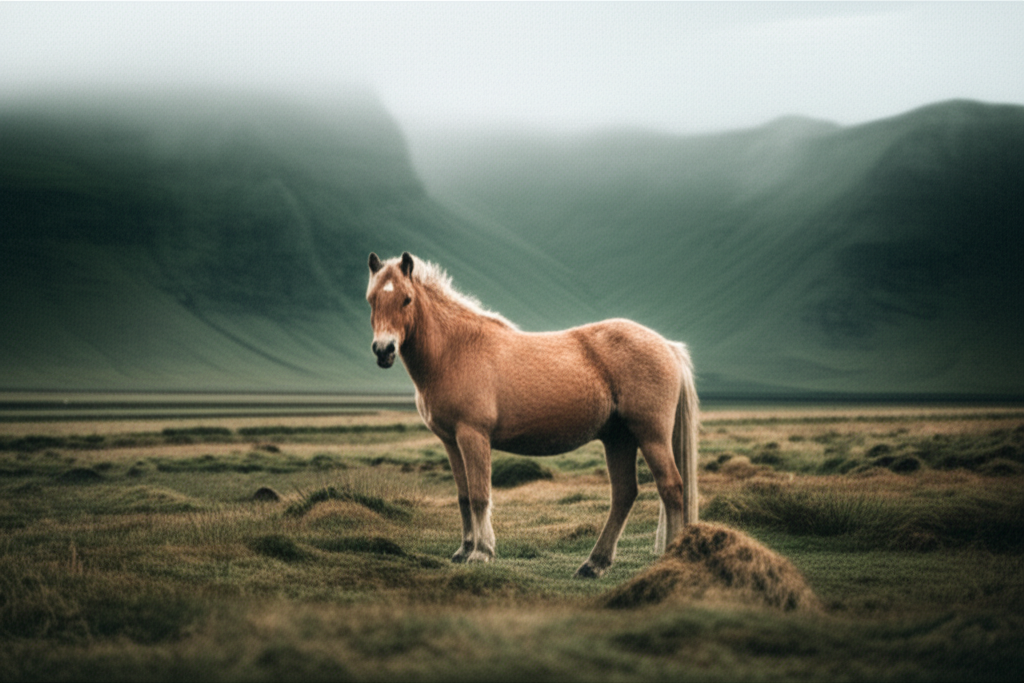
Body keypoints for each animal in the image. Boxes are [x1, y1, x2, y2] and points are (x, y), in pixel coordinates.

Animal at [366, 252, 699, 578]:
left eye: (407, 299)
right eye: (371, 299)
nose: (384, 350)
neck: (454, 350)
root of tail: (667, 346)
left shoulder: (473, 436)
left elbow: (479, 495)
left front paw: (481, 552)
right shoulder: (451, 441)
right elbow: (463, 496)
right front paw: (464, 550)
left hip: (651, 435)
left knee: (671, 487)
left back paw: (667, 556)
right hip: (619, 439)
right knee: (624, 494)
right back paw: (594, 564)